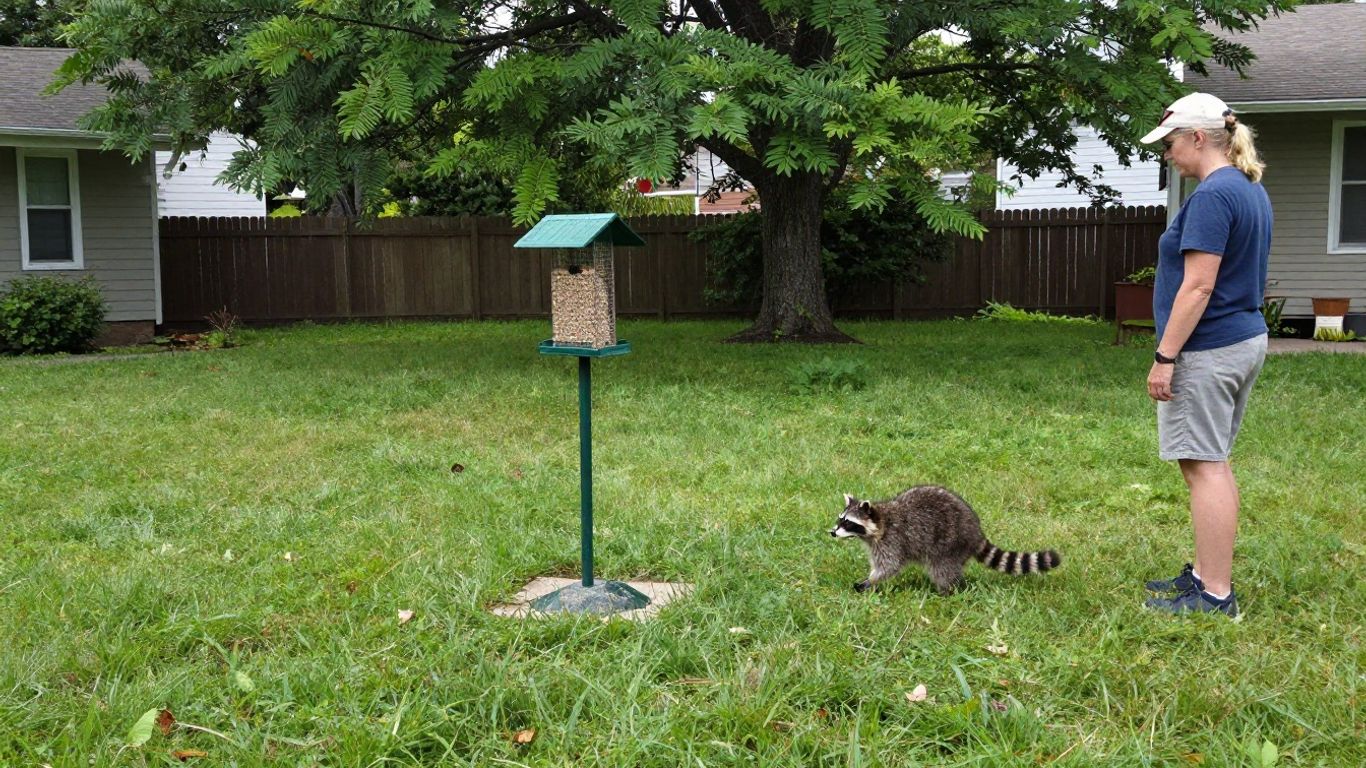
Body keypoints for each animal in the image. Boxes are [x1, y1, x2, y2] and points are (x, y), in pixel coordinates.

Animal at [830, 486, 1060, 595]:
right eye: (840, 519)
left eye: (849, 523)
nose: (832, 532)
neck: (881, 522)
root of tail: (976, 531)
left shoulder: (892, 541)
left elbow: (889, 566)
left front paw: (871, 581)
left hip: (949, 545)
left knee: (942, 569)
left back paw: (948, 590)